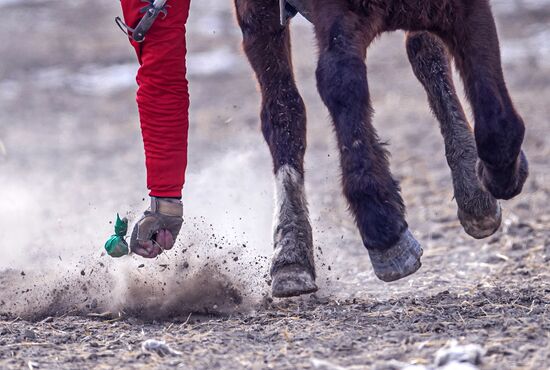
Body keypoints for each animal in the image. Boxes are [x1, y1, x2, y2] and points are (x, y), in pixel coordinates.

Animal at [234, 0, 532, 298]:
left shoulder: (465, 9)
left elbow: (497, 124)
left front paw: (490, 182)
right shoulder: (337, 20)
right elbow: (339, 83)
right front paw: (384, 230)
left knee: (426, 52)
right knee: (282, 107)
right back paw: (291, 256)